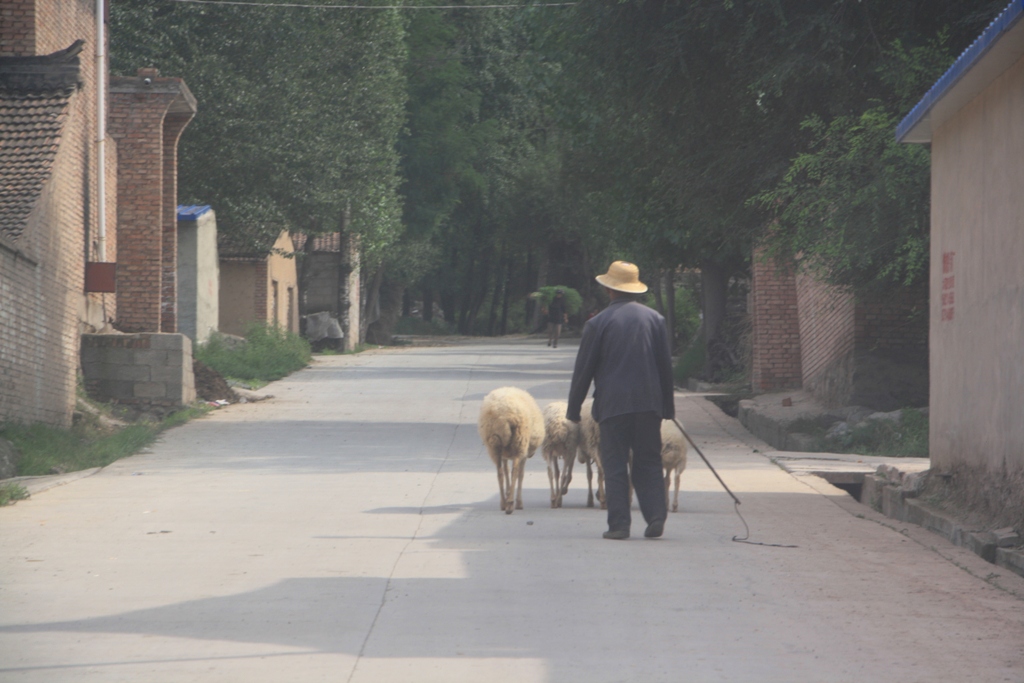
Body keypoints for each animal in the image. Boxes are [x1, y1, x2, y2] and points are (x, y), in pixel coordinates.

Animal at [477, 387, 544, 516]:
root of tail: (506, 416)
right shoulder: (523, 454)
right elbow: (520, 474)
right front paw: (518, 502)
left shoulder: (505, 455)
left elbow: (506, 470)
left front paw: (508, 493)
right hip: (520, 442)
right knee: (515, 472)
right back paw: (510, 505)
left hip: (495, 444)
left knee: (500, 473)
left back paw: (504, 503)